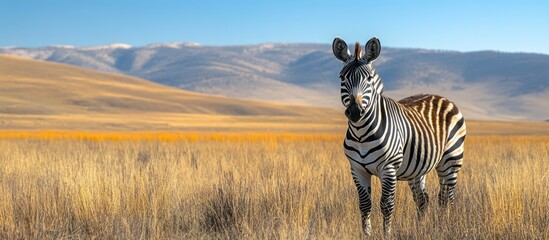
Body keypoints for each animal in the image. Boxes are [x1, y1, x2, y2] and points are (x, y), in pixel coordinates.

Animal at [330, 36, 466, 235]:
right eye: (342, 77)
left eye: (369, 79)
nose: (355, 112)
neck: (362, 134)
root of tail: (443, 98)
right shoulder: (357, 169)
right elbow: (364, 205)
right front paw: (367, 234)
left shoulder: (389, 168)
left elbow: (387, 205)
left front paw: (386, 234)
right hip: (418, 167)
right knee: (423, 199)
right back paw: (420, 228)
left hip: (451, 160)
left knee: (447, 197)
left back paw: (446, 226)